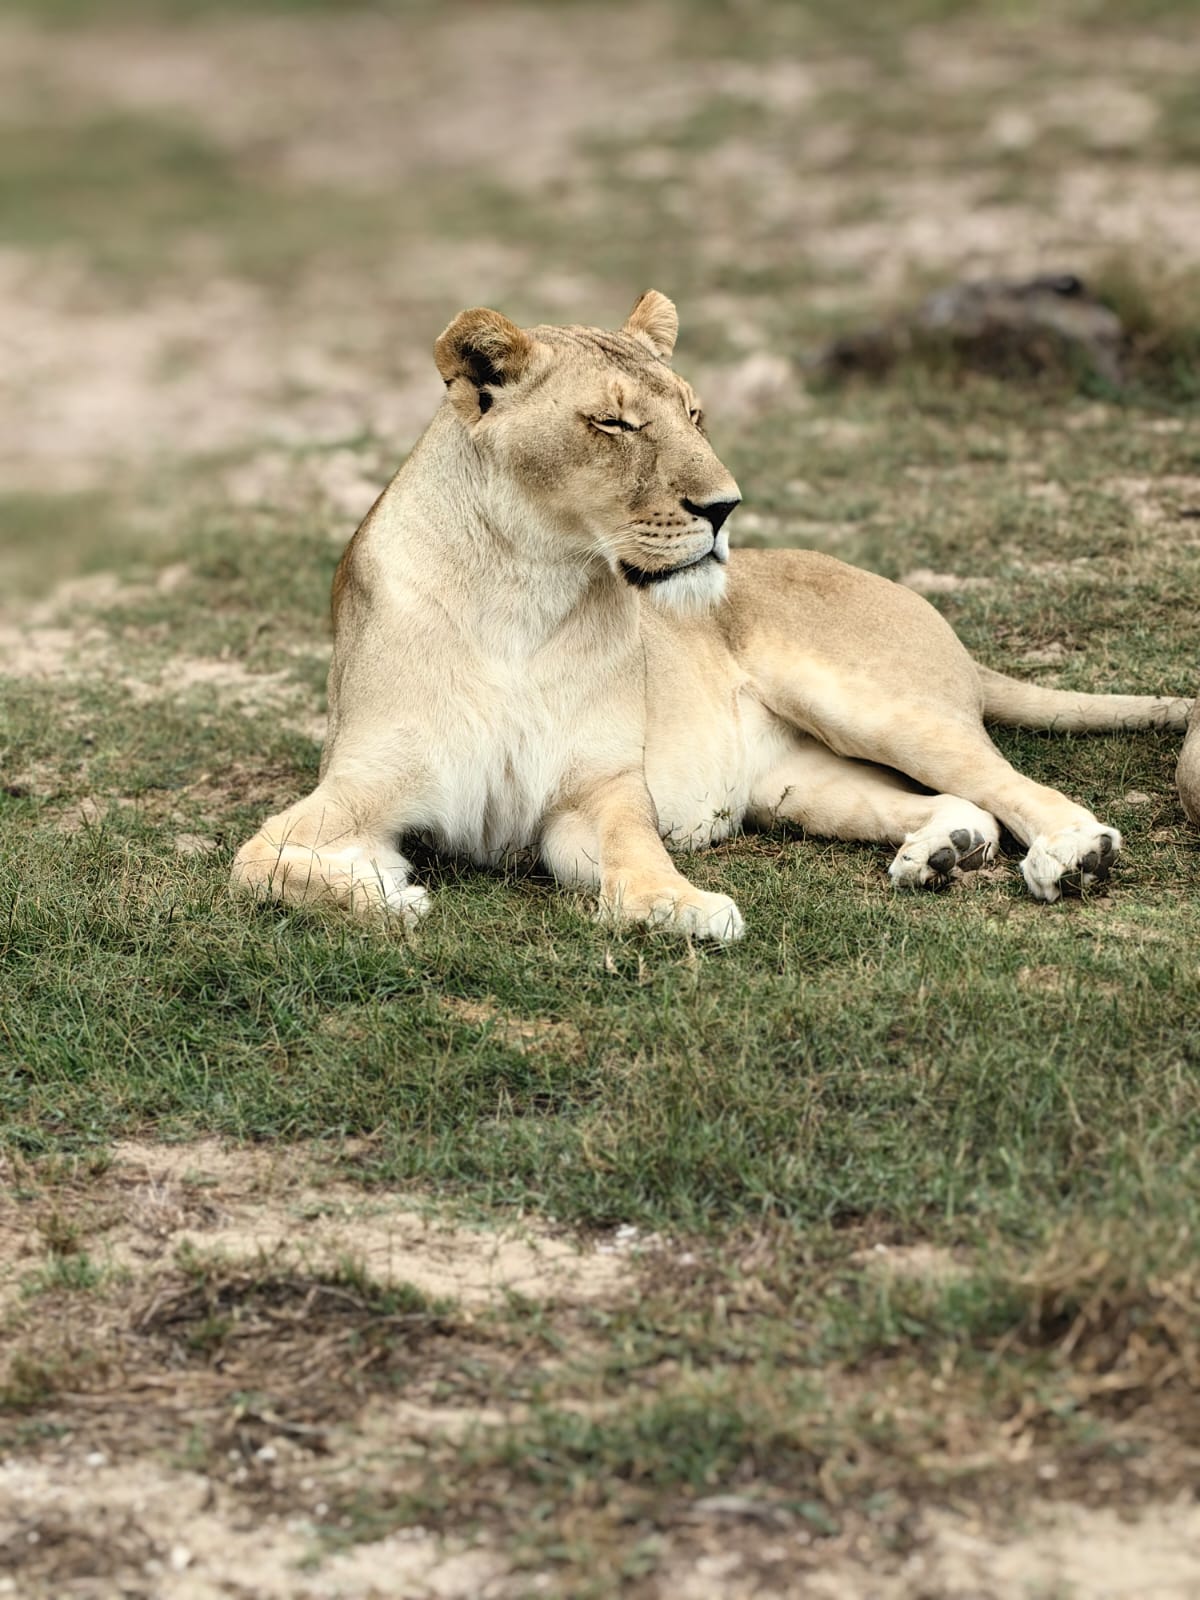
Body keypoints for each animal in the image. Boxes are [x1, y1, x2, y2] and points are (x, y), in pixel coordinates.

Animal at [232, 291, 1192, 941]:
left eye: (694, 413)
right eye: (615, 423)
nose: (726, 507)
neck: (523, 590)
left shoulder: (597, 792)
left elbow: (636, 856)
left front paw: (679, 906)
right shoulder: (358, 787)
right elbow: (255, 865)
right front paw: (384, 888)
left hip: (867, 705)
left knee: (1012, 784)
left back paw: (1074, 855)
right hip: (796, 783)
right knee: (959, 803)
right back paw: (941, 853)